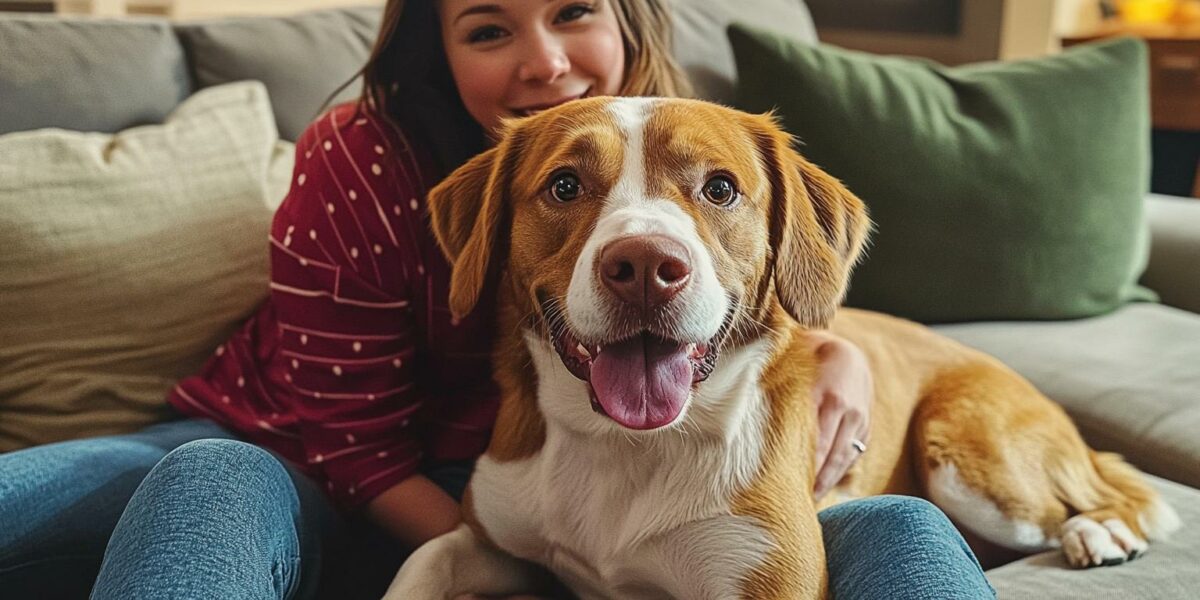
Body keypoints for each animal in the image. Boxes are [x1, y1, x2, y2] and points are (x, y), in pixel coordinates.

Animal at [384, 98, 1180, 600]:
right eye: (564, 185)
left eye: (720, 188)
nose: (644, 266)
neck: (624, 447)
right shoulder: (487, 537)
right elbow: (421, 560)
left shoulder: (768, 578)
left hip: (970, 461)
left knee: (1098, 496)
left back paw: (1101, 530)